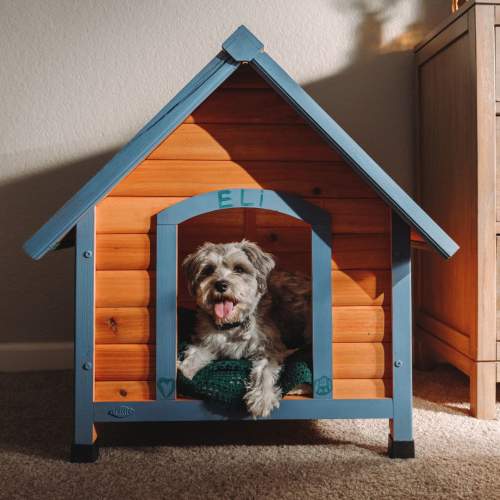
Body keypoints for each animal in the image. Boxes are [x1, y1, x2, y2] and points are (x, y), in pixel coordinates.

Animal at [179, 240, 312, 416]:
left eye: (239, 269)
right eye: (208, 269)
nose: (221, 284)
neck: (232, 325)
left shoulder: (269, 347)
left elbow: (265, 372)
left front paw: (261, 398)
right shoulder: (205, 343)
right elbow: (193, 358)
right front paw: (183, 374)